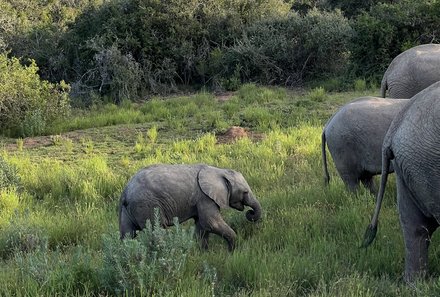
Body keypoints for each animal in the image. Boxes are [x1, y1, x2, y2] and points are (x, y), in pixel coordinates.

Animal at [118, 163, 262, 251]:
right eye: (245, 192)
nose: (249, 213)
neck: (218, 170)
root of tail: (126, 191)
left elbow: (202, 227)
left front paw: (204, 254)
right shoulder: (205, 197)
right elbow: (211, 223)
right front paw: (232, 252)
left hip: (126, 210)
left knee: (127, 235)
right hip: (147, 205)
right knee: (156, 231)